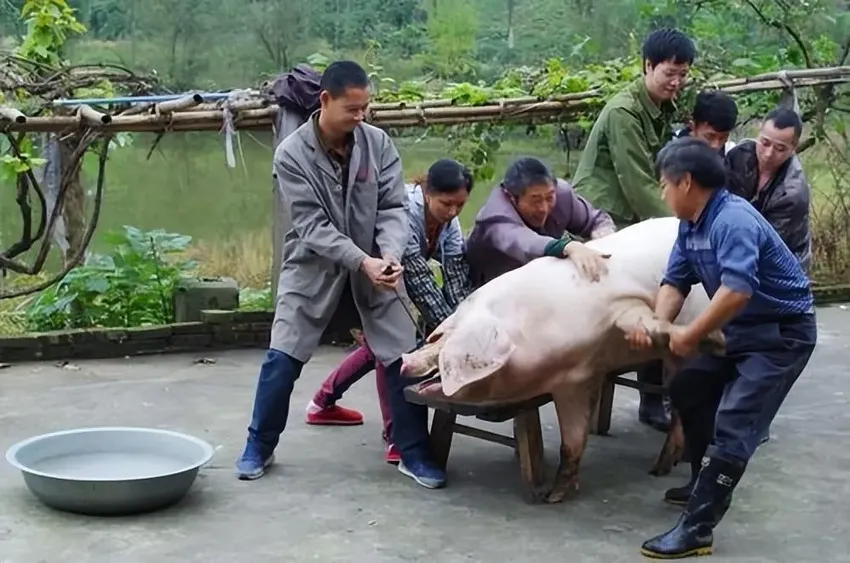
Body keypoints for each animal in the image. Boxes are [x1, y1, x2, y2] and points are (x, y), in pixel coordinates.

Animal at [398, 218, 724, 504]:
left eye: (442, 340)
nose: (403, 361)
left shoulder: (624, 309)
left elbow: (647, 317)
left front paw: (715, 341)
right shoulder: (574, 379)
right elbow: (572, 439)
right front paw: (553, 497)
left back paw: (660, 469)